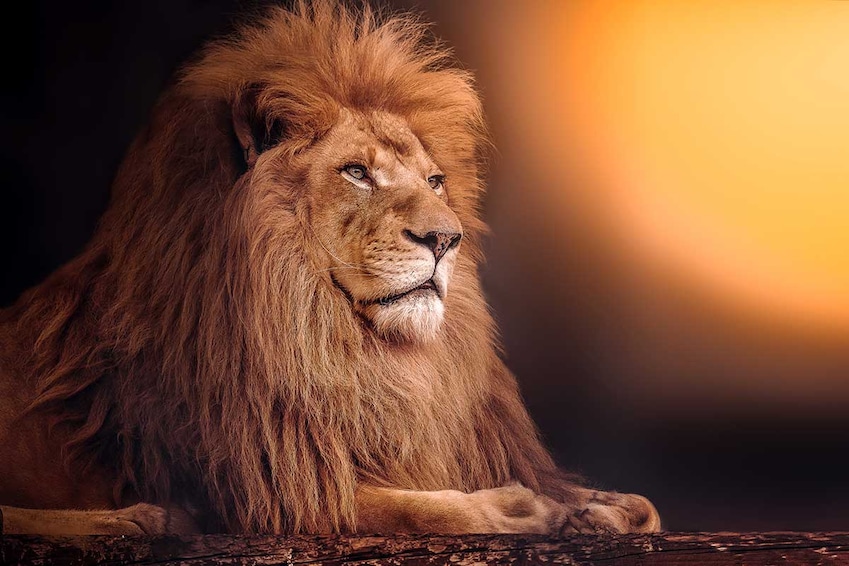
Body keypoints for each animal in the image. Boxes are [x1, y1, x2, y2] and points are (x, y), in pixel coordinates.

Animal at [0, 1, 660, 536]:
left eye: (435, 181)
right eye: (357, 173)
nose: (445, 238)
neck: (343, 340)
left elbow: (634, 505)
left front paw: (604, 507)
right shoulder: (267, 485)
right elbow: (410, 507)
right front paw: (520, 509)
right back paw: (142, 519)